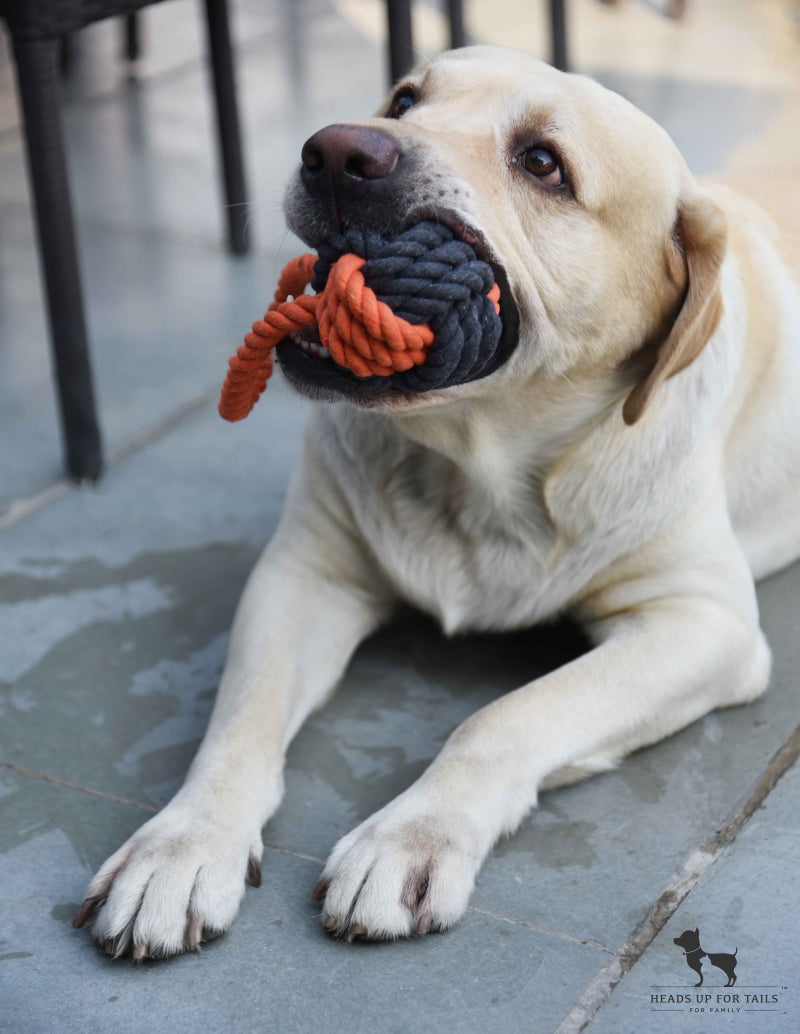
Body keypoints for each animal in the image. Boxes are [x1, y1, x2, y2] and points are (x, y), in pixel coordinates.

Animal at [75, 46, 800, 951]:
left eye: (542, 162)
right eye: (403, 99)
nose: (336, 151)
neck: (475, 467)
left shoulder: (703, 622)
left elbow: (504, 718)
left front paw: (409, 837)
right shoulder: (303, 573)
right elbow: (241, 720)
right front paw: (181, 844)